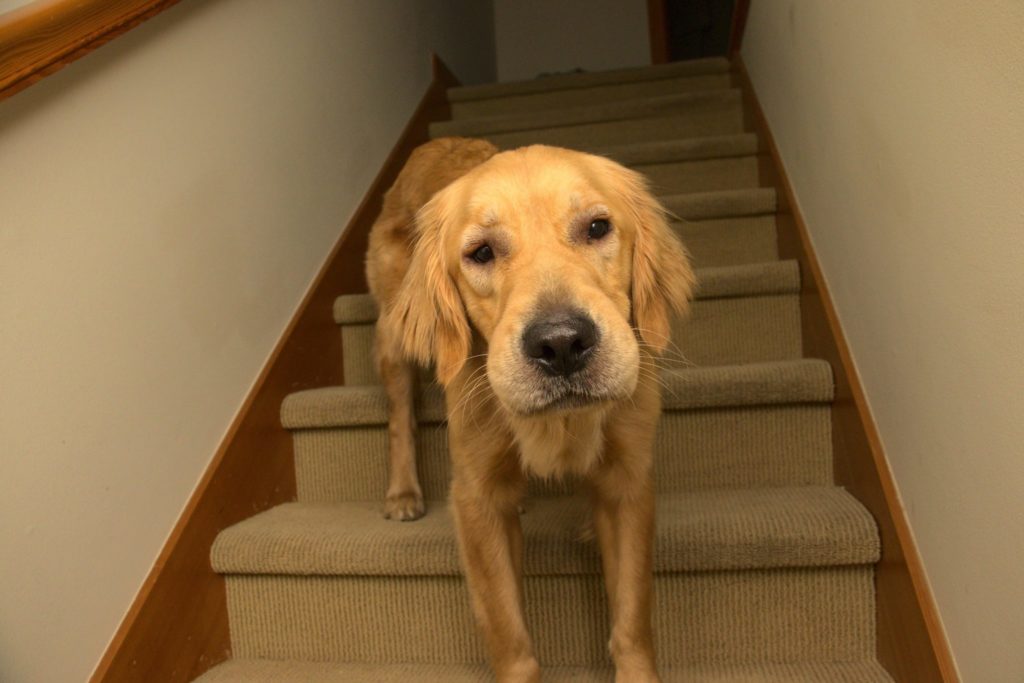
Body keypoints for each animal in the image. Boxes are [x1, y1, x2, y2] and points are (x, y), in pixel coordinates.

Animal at [368, 136, 696, 679]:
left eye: (597, 228)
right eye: (480, 252)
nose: (561, 344)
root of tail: (432, 141)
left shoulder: (628, 482)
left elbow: (632, 616)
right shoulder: (476, 498)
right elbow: (508, 632)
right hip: (394, 336)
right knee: (399, 418)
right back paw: (402, 493)